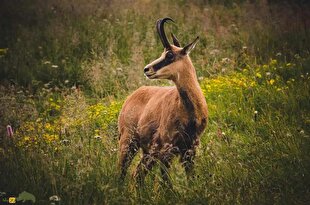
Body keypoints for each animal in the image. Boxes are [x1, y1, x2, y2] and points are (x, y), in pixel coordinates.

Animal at [118, 17, 208, 185]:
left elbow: (190, 177)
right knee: (123, 172)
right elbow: (165, 181)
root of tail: (133, 95)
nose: (146, 69)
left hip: (148, 153)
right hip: (129, 143)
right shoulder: (166, 151)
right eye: (163, 53)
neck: (188, 112)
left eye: (170, 55)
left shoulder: (189, 149)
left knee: (136, 174)